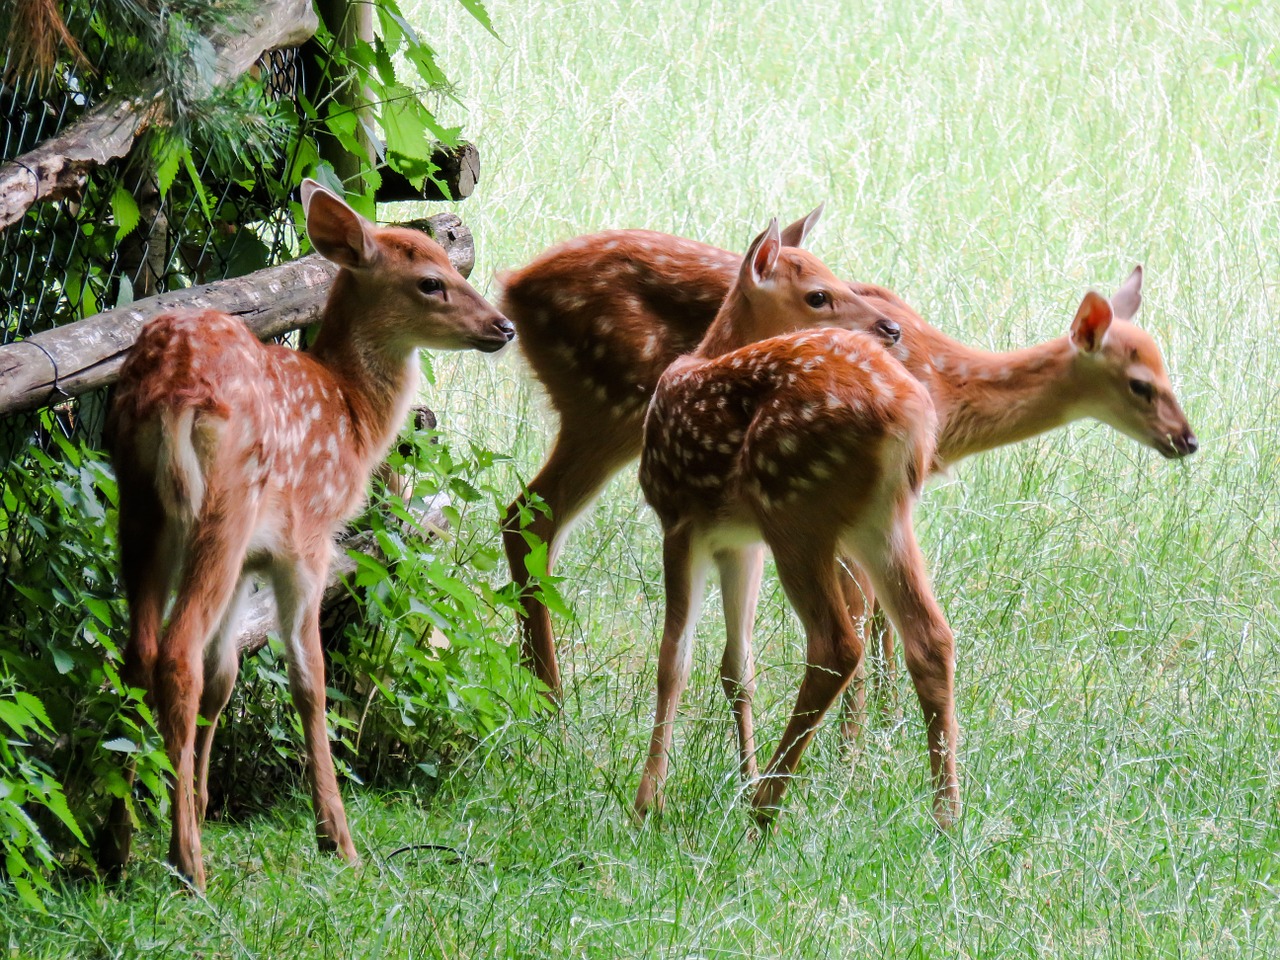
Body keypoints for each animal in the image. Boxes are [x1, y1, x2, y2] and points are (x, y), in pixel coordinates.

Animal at [634, 217, 957, 829]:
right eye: (818, 294)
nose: (891, 327)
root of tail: (906, 411)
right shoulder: (739, 542)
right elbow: (736, 667)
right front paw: (738, 776)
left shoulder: (679, 519)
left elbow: (673, 660)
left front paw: (648, 804)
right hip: (880, 520)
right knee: (931, 637)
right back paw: (946, 818)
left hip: (794, 510)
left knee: (838, 646)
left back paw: (764, 811)